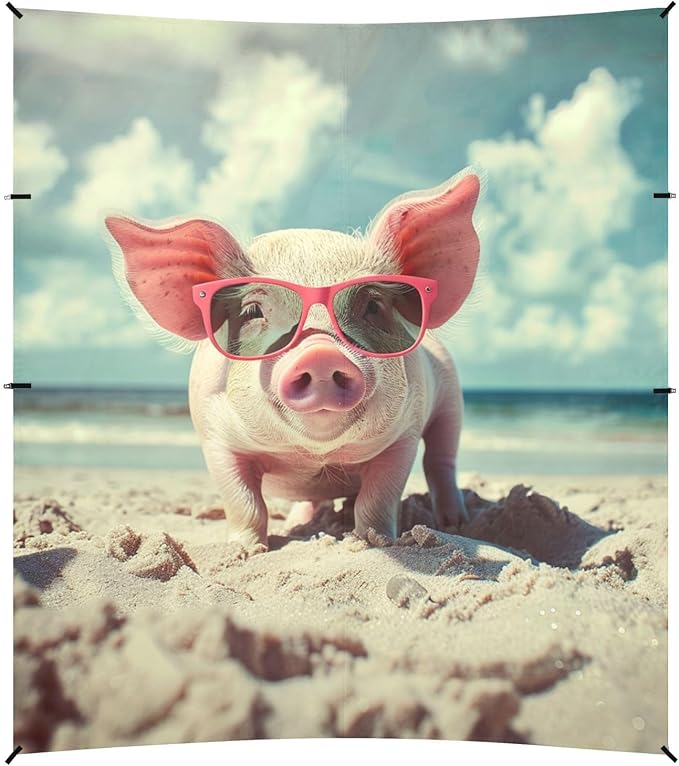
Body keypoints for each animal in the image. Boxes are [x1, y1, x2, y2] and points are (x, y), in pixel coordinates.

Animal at [104, 167, 481, 549]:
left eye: (374, 305)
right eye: (252, 311)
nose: (320, 354)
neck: (314, 457)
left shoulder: (404, 434)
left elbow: (378, 500)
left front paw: (371, 542)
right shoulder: (215, 438)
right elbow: (243, 502)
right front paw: (246, 550)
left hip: (452, 399)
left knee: (441, 458)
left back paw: (455, 523)